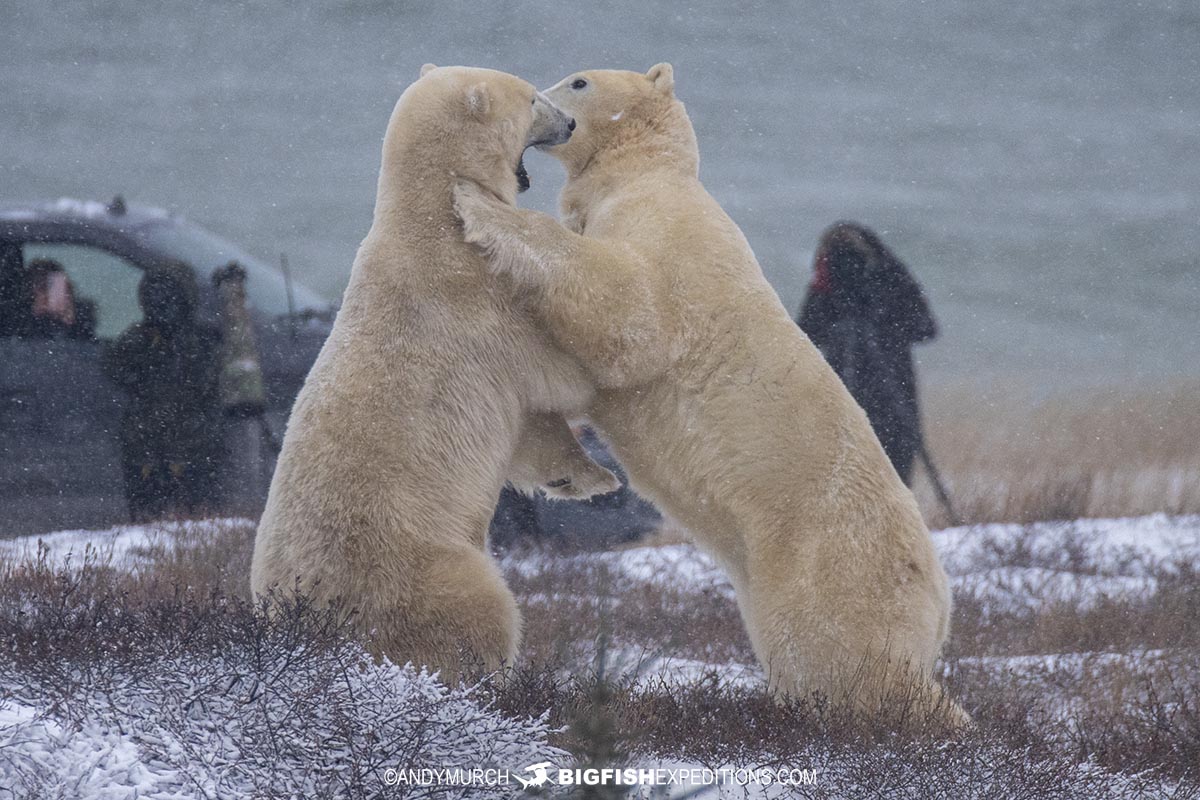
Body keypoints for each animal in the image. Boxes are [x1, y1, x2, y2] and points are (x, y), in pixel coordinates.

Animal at [250, 64, 620, 678]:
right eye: (532, 99)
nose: (569, 123)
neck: (430, 220)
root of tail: (309, 622)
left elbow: (530, 429)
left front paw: (578, 479)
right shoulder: (483, 299)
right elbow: (557, 376)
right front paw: (602, 475)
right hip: (423, 565)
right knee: (480, 605)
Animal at [452, 64, 967, 726]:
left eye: (579, 82)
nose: (541, 107)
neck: (646, 173)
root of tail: (939, 593)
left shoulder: (665, 241)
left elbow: (624, 315)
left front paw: (474, 202)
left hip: (831, 561)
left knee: (845, 657)